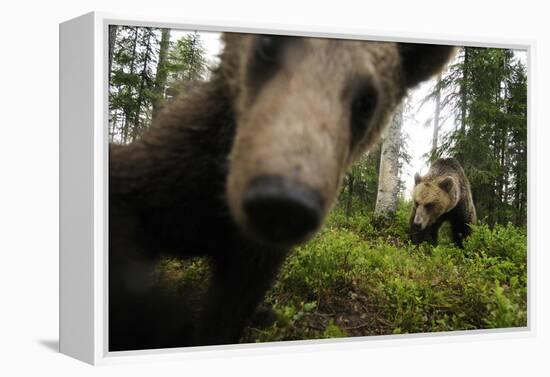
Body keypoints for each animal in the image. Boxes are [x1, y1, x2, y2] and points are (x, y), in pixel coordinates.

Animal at [109, 32, 458, 350]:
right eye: (267, 45)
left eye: (367, 100)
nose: (282, 202)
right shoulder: (170, 174)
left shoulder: (253, 258)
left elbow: (228, 312)